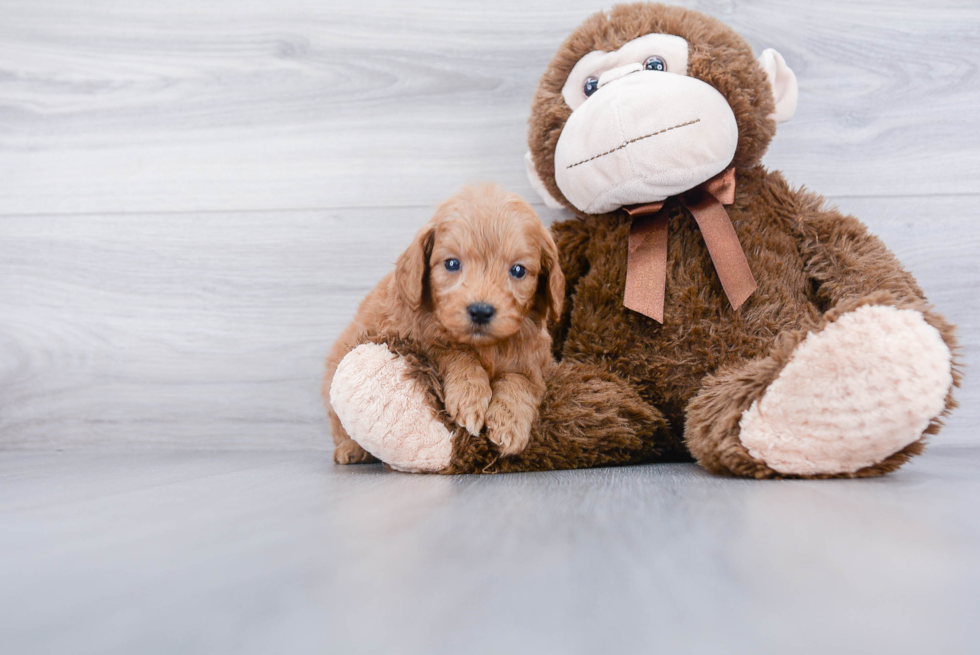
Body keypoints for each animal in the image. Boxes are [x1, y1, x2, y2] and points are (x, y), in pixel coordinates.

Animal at [326, 182, 564, 464]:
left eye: (518, 270)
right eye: (452, 263)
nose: (481, 311)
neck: (485, 346)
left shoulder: (535, 362)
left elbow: (520, 382)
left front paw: (510, 424)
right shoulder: (413, 339)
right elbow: (454, 353)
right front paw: (470, 396)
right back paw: (351, 450)